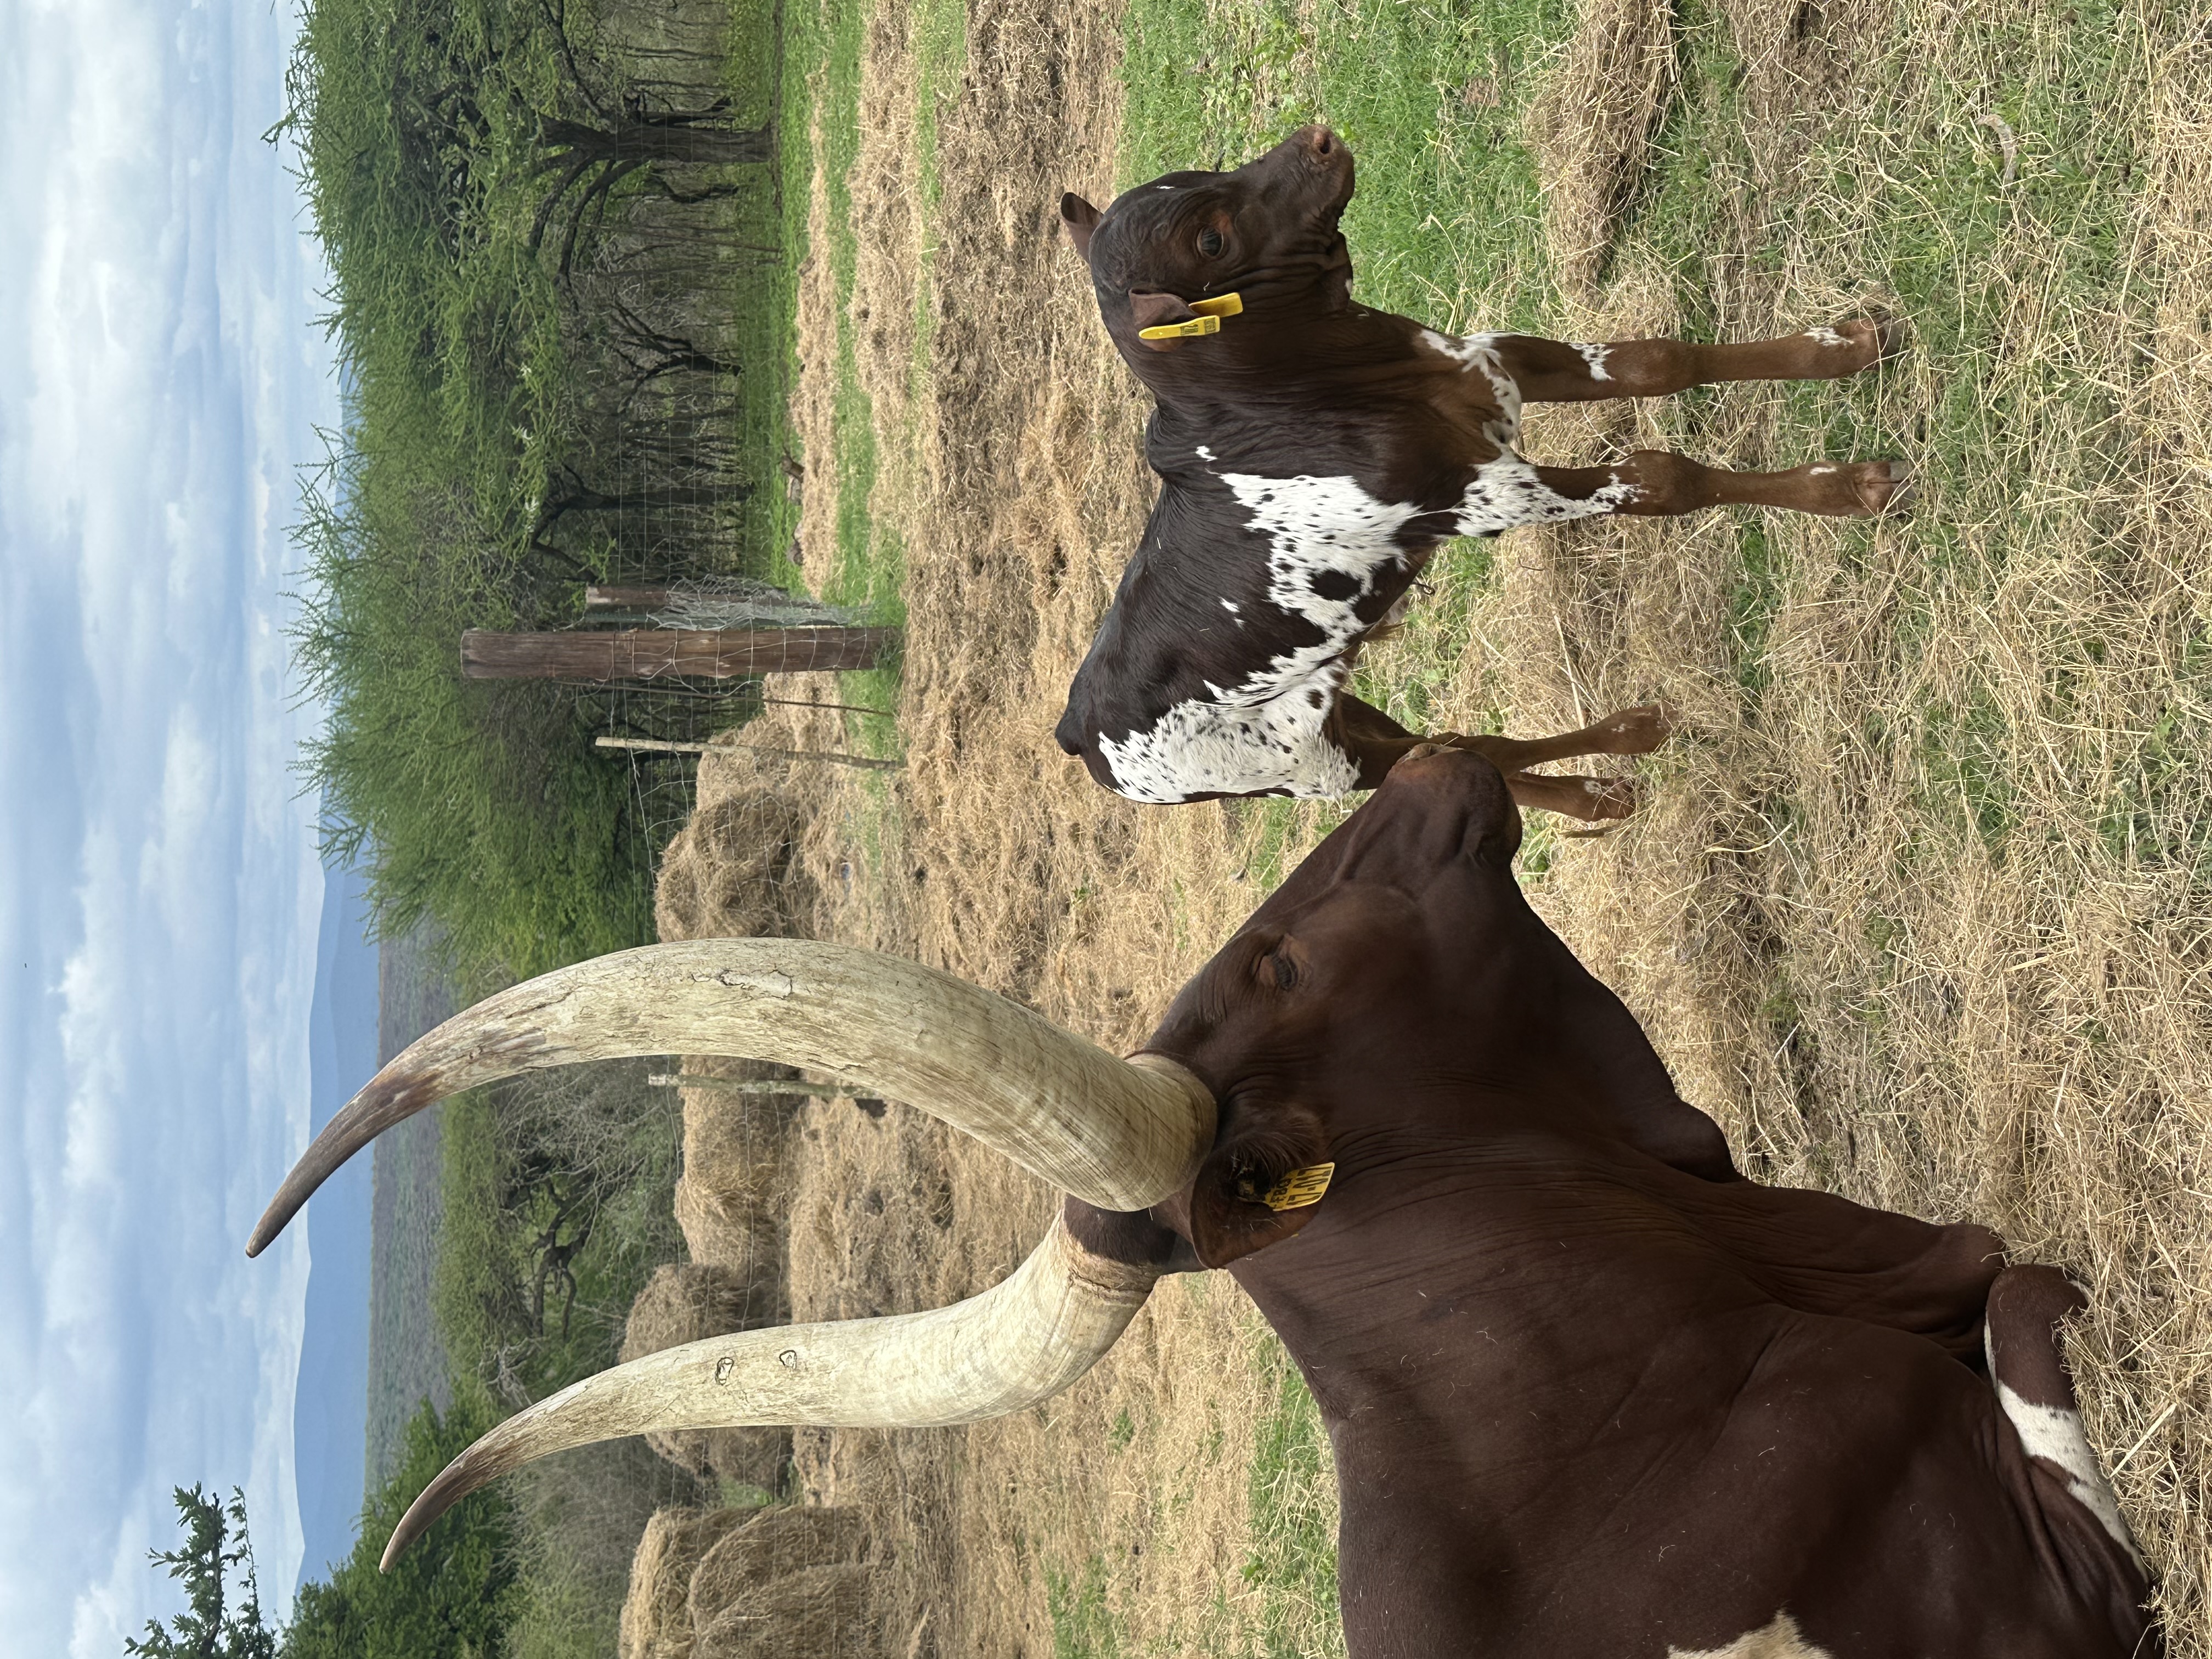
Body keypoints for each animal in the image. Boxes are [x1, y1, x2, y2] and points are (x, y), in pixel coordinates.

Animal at [1054, 125, 1910, 808]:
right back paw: (1603, 781)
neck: (1314, 390)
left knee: (1462, 746)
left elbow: (1657, 362)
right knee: (1466, 757)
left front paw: (1844, 349)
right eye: (1210, 241)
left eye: (1201, 172)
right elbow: (1662, 479)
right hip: (1308, 768)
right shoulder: (1490, 496)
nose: (1317, 138)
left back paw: (1616, 763)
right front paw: (1846, 489)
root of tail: (1078, 731)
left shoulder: (1493, 364)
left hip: (1330, 704)